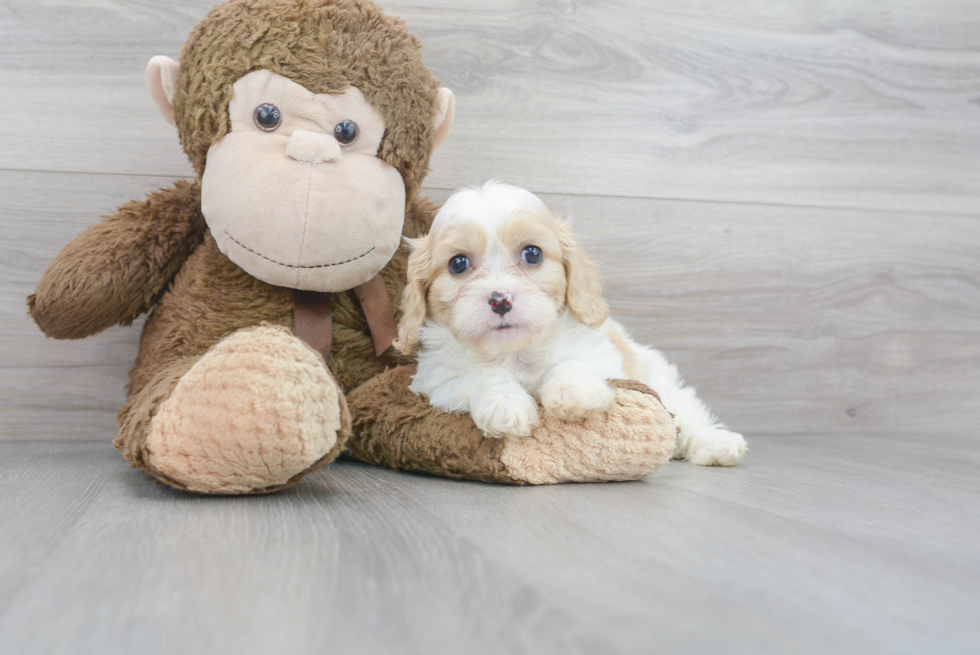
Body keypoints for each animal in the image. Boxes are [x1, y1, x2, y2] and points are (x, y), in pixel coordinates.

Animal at [394, 179, 748, 466]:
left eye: (533, 254)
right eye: (458, 264)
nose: (500, 300)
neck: (516, 351)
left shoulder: (603, 358)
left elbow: (572, 361)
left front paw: (574, 392)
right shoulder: (435, 381)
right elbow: (481, 374)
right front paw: (506, 406)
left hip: (658, 378)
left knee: (686, 413)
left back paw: (716, 444)